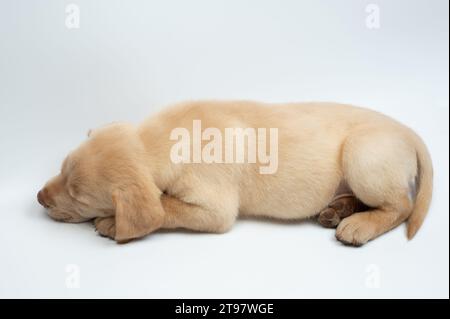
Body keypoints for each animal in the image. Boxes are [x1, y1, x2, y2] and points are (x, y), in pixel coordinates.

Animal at [37, 101, 432, 246]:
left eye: (79, 197)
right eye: (61, 168)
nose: (39, 199)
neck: (165, 138)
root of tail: (408, 131)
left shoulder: (214, 209)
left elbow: (164, 207)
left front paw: (109, 222)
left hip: (362, 154)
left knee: (401, 206)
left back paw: (359, 225)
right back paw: (338, 209)